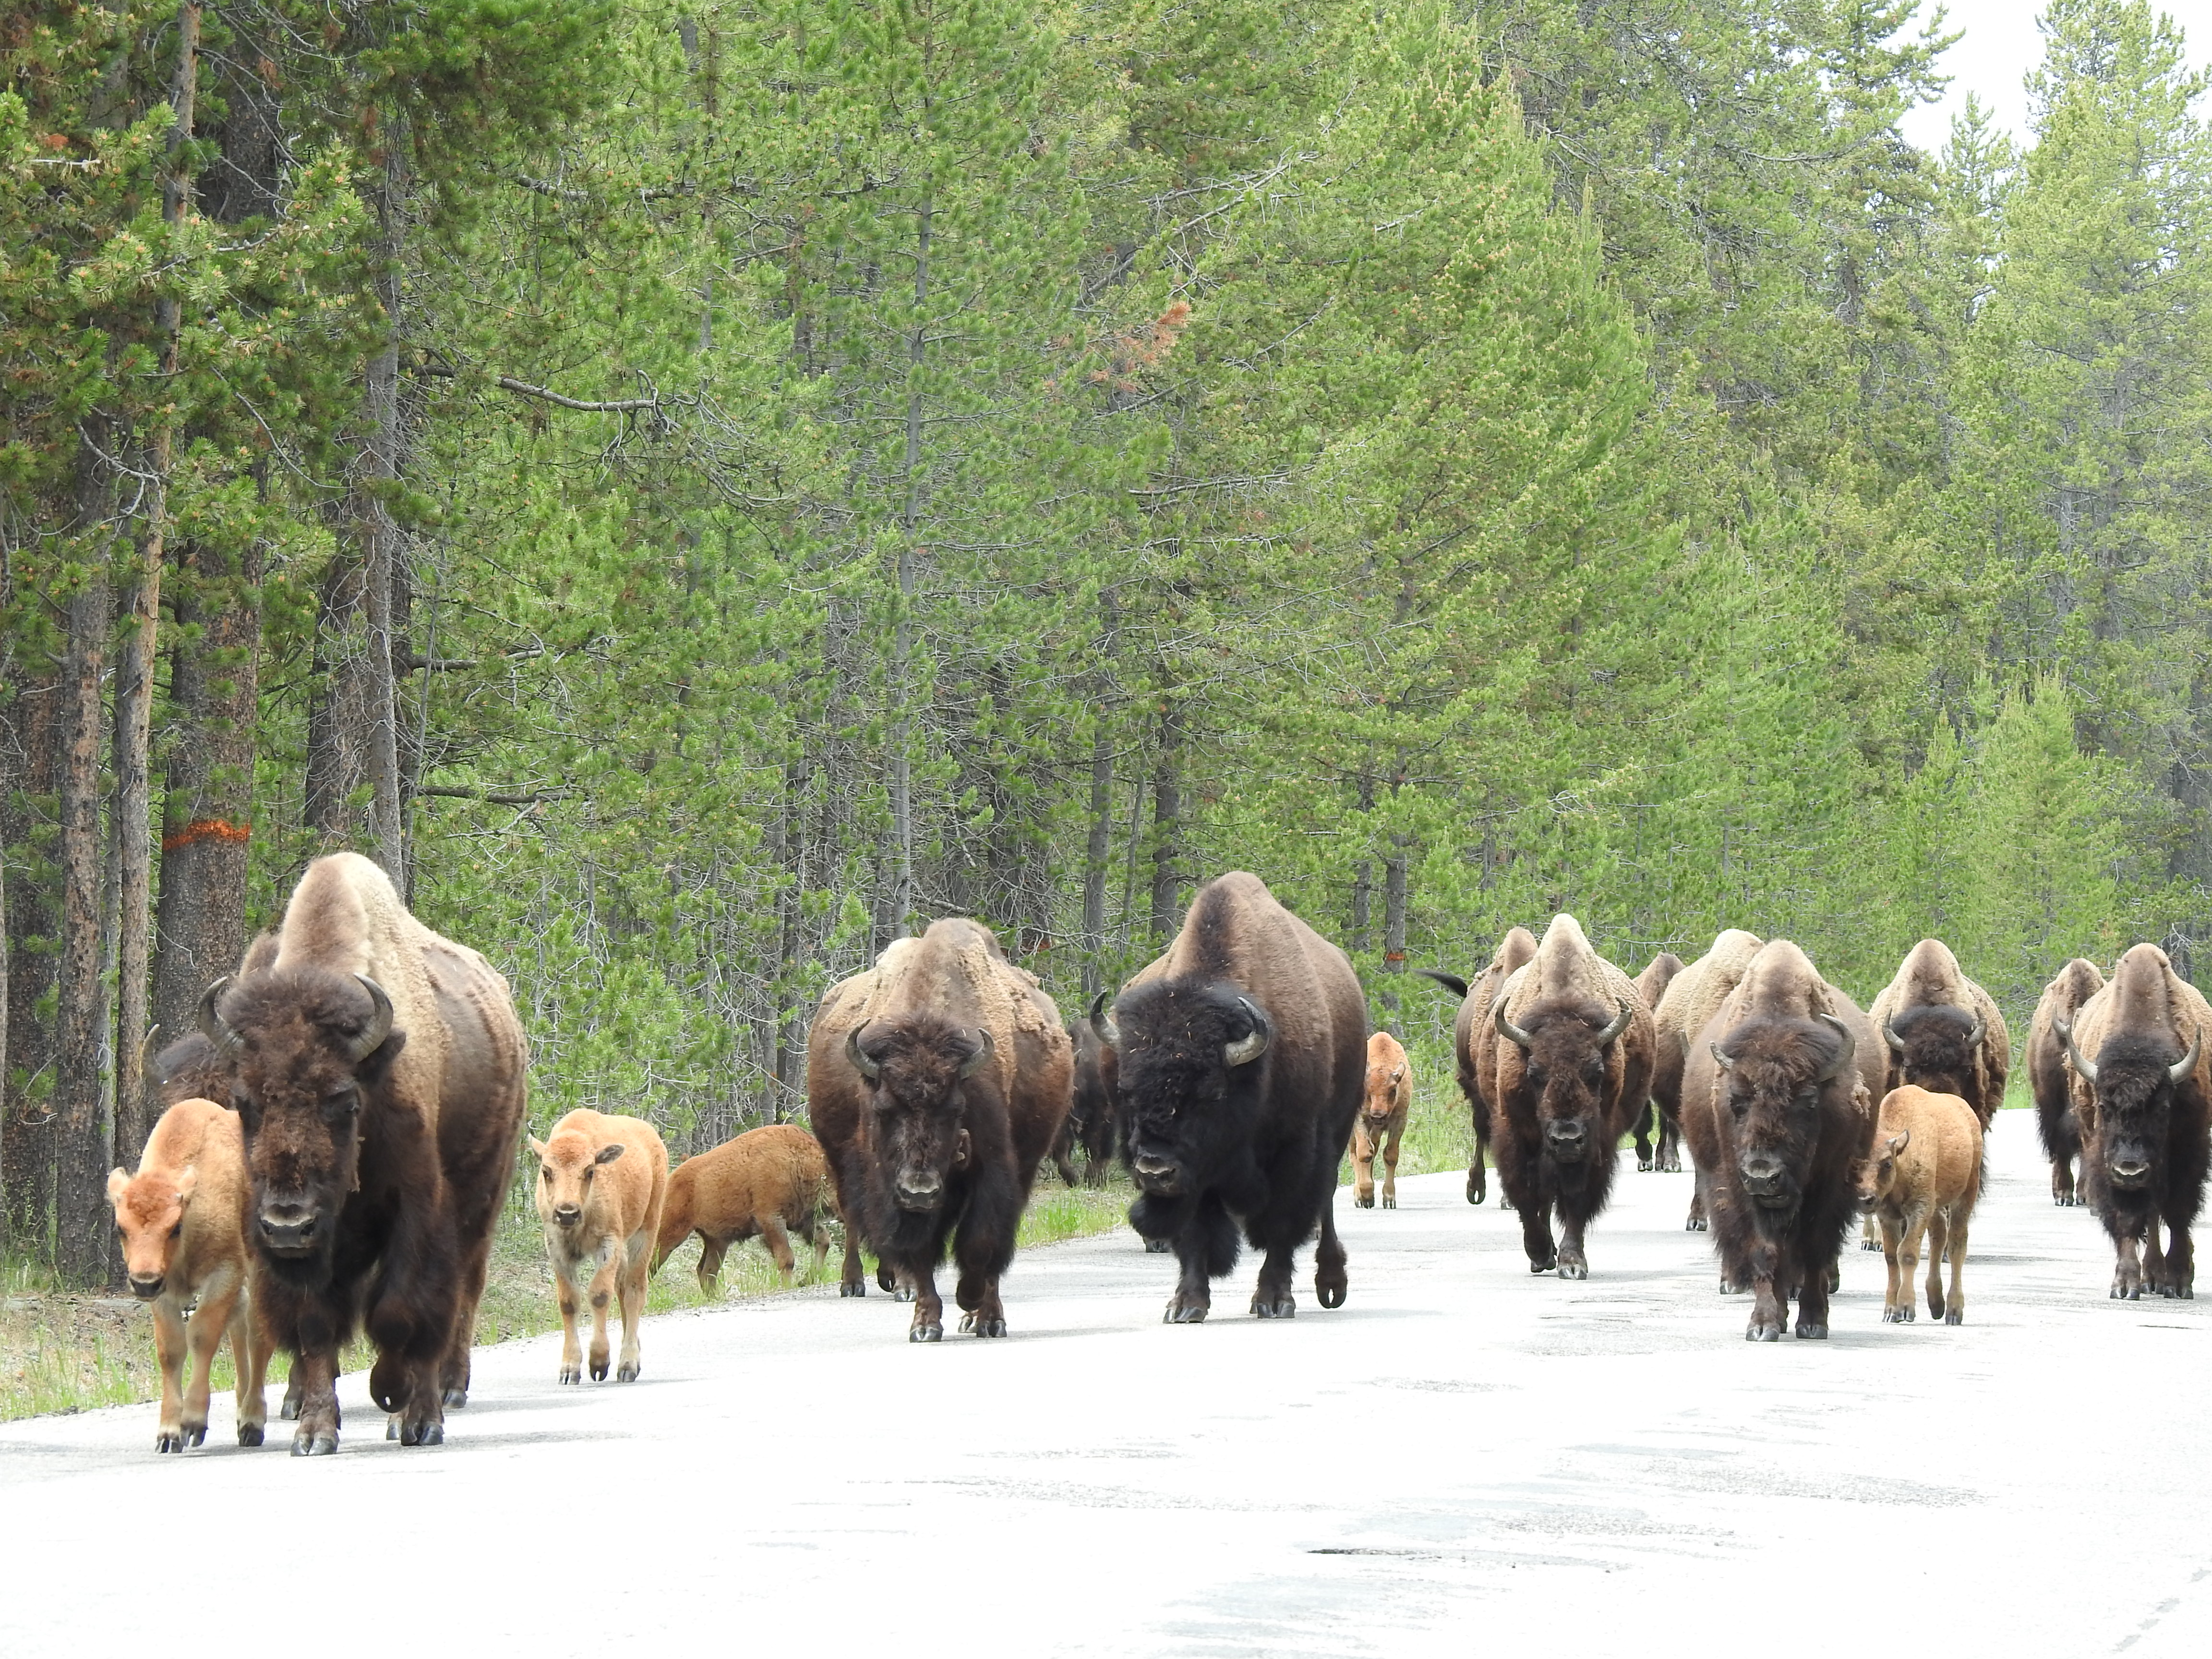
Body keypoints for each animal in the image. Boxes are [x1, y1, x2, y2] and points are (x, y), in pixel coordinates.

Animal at [1097, 871, 1363, 1322]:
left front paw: (1274, 1300)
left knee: (1324, 1203)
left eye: (1211, 1095)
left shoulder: (1295, 1148)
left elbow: (1281, 1224)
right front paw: (1186, 1305)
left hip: (1340, 1129)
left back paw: (1331, 1284)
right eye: (1125, 1092)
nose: (1154, 1172)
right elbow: (1196, 1232)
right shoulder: (1195, 1172)